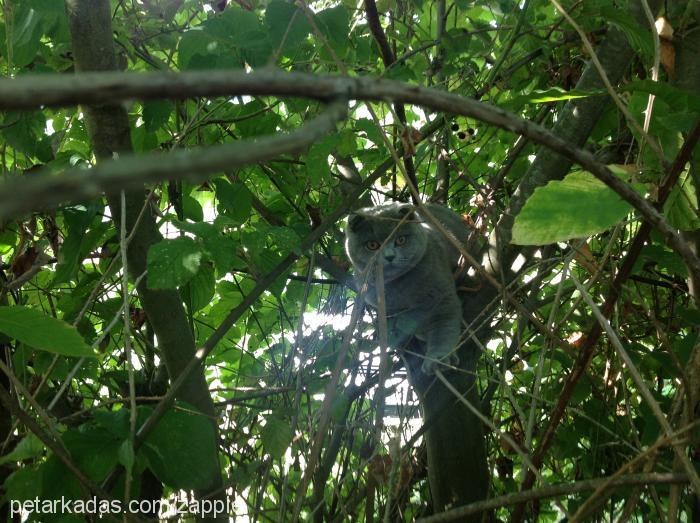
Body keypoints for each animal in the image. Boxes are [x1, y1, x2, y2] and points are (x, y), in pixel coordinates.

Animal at [344, 203, 470, 374]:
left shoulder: (441, 295)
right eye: (372, 245)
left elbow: (443, 326)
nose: (390, 256)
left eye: (401, 240)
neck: (399, 288)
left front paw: (439, 359)